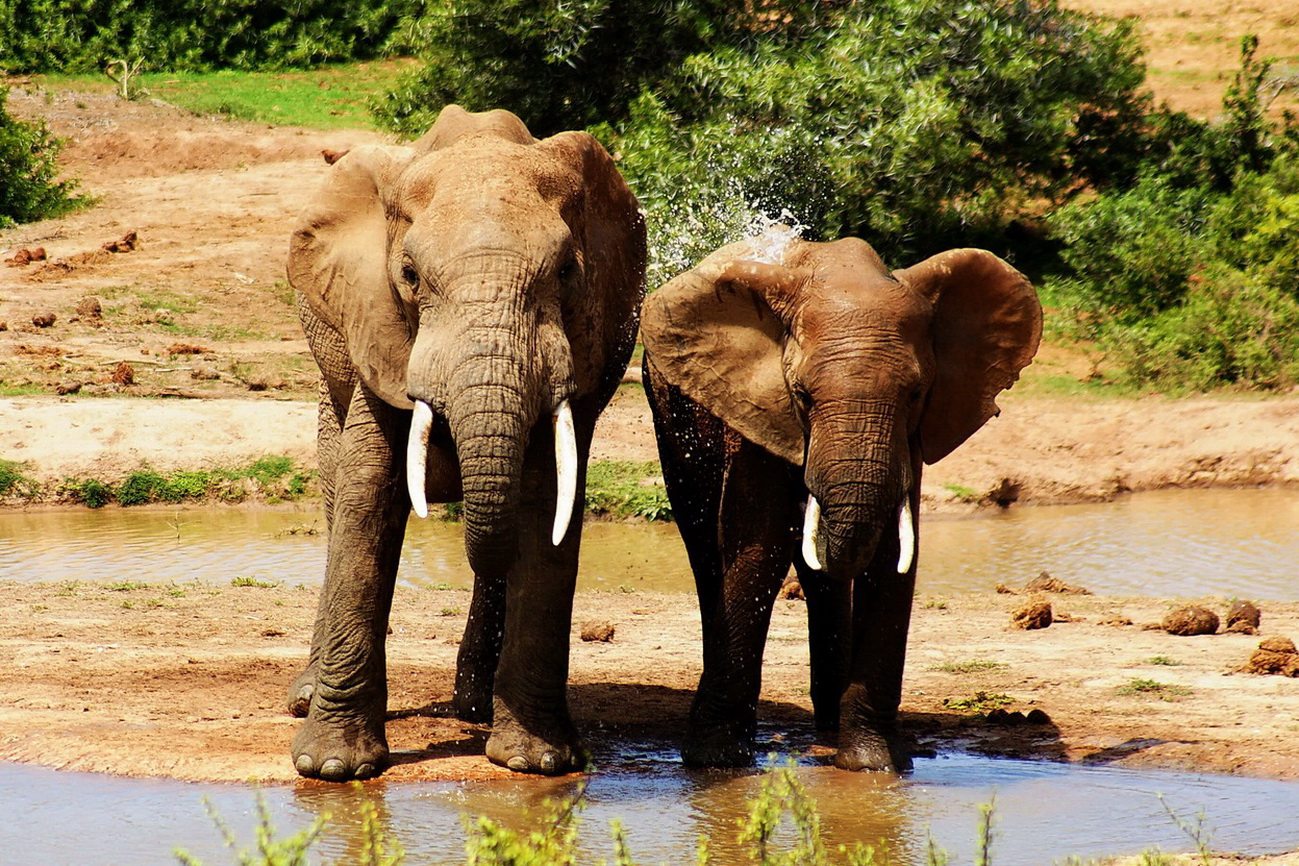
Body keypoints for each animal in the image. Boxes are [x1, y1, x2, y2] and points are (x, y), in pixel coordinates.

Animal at [287, 105, 646, 784]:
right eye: (409, 277)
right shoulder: (378, 328)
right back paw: (305, 697)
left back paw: (475, 707)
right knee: (335, 493)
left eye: (567, 272)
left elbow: (549, 505)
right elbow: (365, 499)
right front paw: (333, 769)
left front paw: (537, 762)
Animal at [641, 232, 1044, 773]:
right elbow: (759, 546)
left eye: (915, 394)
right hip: (671, 412)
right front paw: (718, 762)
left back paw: (830, 724)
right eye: (803, 395)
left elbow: (892, 557)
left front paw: (876, 766)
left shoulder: (909, 438)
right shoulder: (757, 412)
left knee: (818, 576)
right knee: (705, 543)